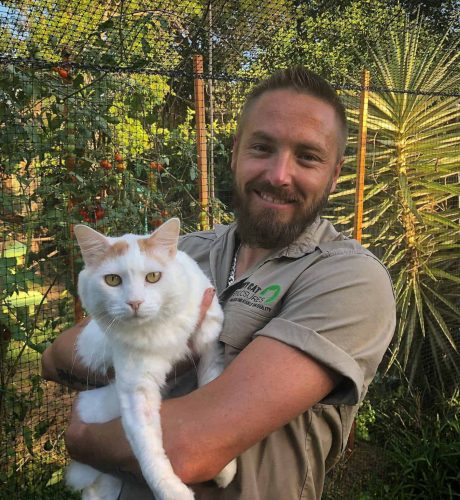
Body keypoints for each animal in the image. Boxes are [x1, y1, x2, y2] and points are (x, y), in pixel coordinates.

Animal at [65, 219, 237, 500]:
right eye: (112, 280)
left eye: (153, 277)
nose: (135, 302)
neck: (159, 329)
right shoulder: (136, 390)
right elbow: (148, 451)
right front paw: (173, 492)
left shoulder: (211, 345)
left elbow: (210, 388)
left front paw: (225, 470)